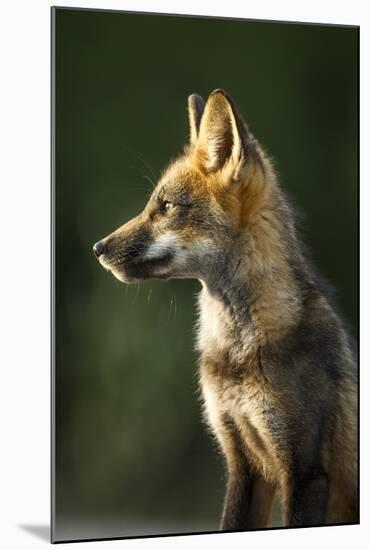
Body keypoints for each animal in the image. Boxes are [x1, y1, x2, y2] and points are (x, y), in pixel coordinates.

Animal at [92, 89, 356, 532]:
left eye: (166, 206)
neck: (238, 355)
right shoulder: (243, 463)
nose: (98, 248)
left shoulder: (305, 470)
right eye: (152, 204)